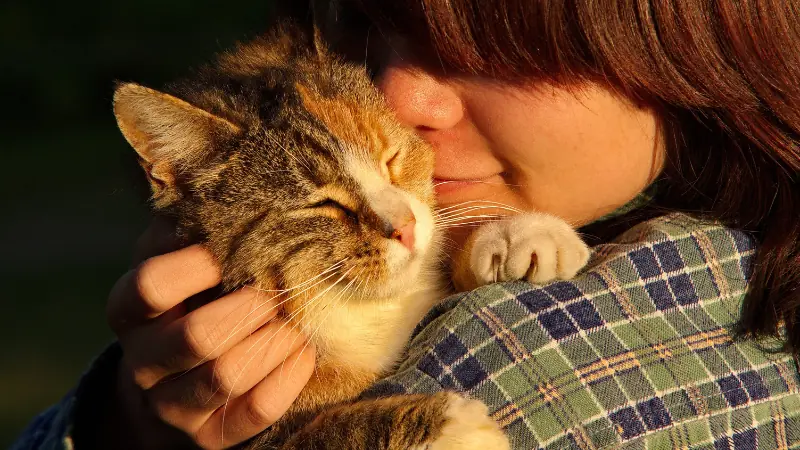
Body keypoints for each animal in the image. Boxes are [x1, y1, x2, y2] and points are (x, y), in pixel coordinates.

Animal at [111, 22, 588, 450]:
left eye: (391, 158)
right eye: (323, 204)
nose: (406, 227)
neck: (353, 310)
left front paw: (516, 236)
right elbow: (322, 434)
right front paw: (448, 426)